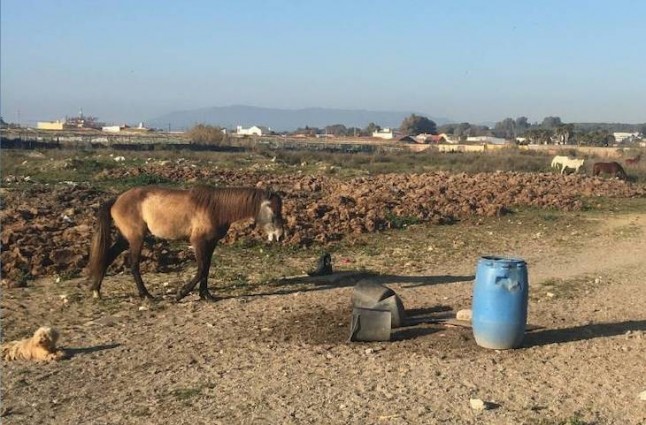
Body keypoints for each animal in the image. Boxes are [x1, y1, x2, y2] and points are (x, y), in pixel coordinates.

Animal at [87, 186, 285, 301]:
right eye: (274, 211)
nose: (280, 236)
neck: (215, 208)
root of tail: (116, 199)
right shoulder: (198, 242)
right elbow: (201, 268)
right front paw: (181, 294)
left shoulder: (211, 243)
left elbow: (207, 268)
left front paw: (206, 295)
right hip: (136, 238)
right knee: (134, 264)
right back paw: (147, 295)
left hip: (125, 238)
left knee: (108, 257)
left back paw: (96, 290)